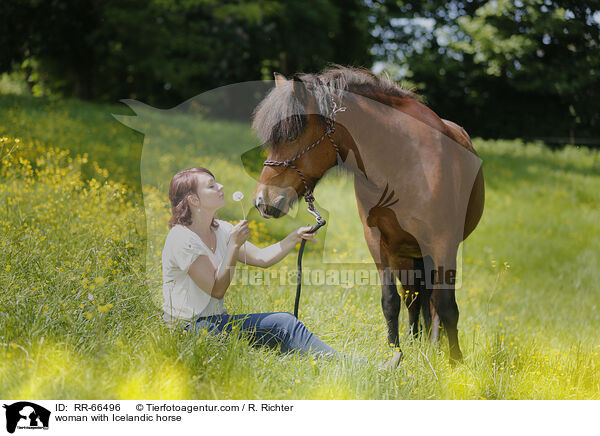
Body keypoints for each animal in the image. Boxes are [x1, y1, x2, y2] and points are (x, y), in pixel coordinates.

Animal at [251, 65, 486, 364]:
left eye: (290, 136)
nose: (263, 200)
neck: (404, 162)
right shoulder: (379, 242)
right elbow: (391, 301)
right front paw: (395, 354)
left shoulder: (444, 243)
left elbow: (446, 306)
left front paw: (455, 363)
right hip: (406, 254)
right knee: (413, 298)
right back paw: (416, 341)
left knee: (432, 302)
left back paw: (434, 344)